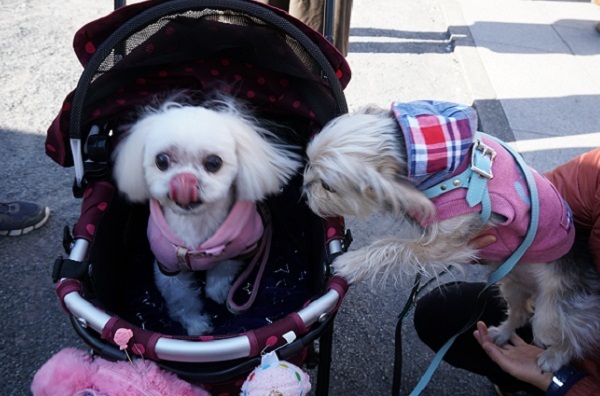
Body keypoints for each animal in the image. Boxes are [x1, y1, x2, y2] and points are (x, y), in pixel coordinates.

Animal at [112, 93, 300, 334]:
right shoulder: (168, 267)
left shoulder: (239, 248)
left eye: (213, 162)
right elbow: (183, 299)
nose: (184, 180)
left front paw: (216, 293)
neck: (197, 224)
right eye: (161, 160)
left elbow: (222, 272)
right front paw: (196, 326)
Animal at [302, 100, 600, 372]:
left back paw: (553, 358)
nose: (304, 192)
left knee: (570, 338)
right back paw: (501, 334)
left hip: (552, 311)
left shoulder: (444, 243)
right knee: (521, 311)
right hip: (513, 284)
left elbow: (395, 246)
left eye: (328, 186)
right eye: (308, 164)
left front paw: (351, 263)